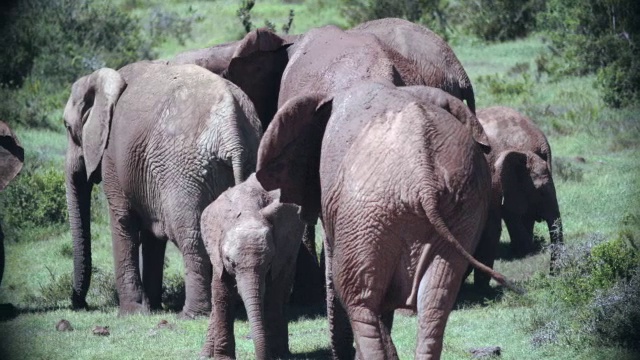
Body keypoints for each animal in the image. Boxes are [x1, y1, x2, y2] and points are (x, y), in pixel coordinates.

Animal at [63, 62, 264, 318]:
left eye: (68, 128)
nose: (80, 304)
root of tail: (232, 132)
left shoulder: (111, 158)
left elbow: (123, 222)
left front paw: (131, 312)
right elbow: (152, 235)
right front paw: (153, 308)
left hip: (184, 171)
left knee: (190, 236)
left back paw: (190, 314)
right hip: (248, 159)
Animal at [201, 173, 304, 358]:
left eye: (268, 262)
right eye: (230, 262)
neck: (248, 210)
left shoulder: (280, 253)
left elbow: (273, 293)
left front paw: (274, 355)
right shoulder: (217, 254)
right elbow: (222, 294)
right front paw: (223, 358)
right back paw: (205, 355)